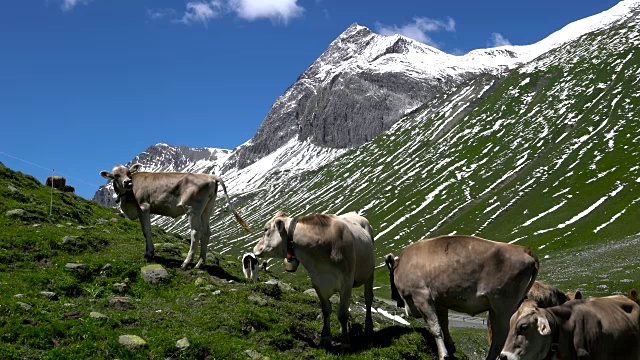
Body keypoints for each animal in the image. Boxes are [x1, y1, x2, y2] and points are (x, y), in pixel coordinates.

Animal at [100, 165, 250, 268]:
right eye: (116, 175)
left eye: (128, 173)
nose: (128, 182)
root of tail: (211, 176)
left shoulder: (144, 207)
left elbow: (146, 231)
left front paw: (149, 253)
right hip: (207, 209)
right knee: (206, 232)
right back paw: (200, 263)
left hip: (192, 209)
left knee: (196, 232)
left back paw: (186, 263)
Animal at [251, 211, 376, 348]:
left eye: (266, 229)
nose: (254, 248)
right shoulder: (318, 283)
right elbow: (326, 310)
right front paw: (325, 337)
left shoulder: (346, 283)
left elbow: (342, 314)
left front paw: (345, 342)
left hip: (370, 272)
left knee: (368, 299)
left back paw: (369, 326)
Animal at [384, 235, 540, 360]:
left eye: (390, 274)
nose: (393, 296)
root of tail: (523, 249)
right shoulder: (440, 302)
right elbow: (444, 325)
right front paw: (450, 348)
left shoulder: (422, 298)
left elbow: (435, 327)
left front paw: (443, 355)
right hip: (499, 307)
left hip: (502, 305)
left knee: (500, 337)